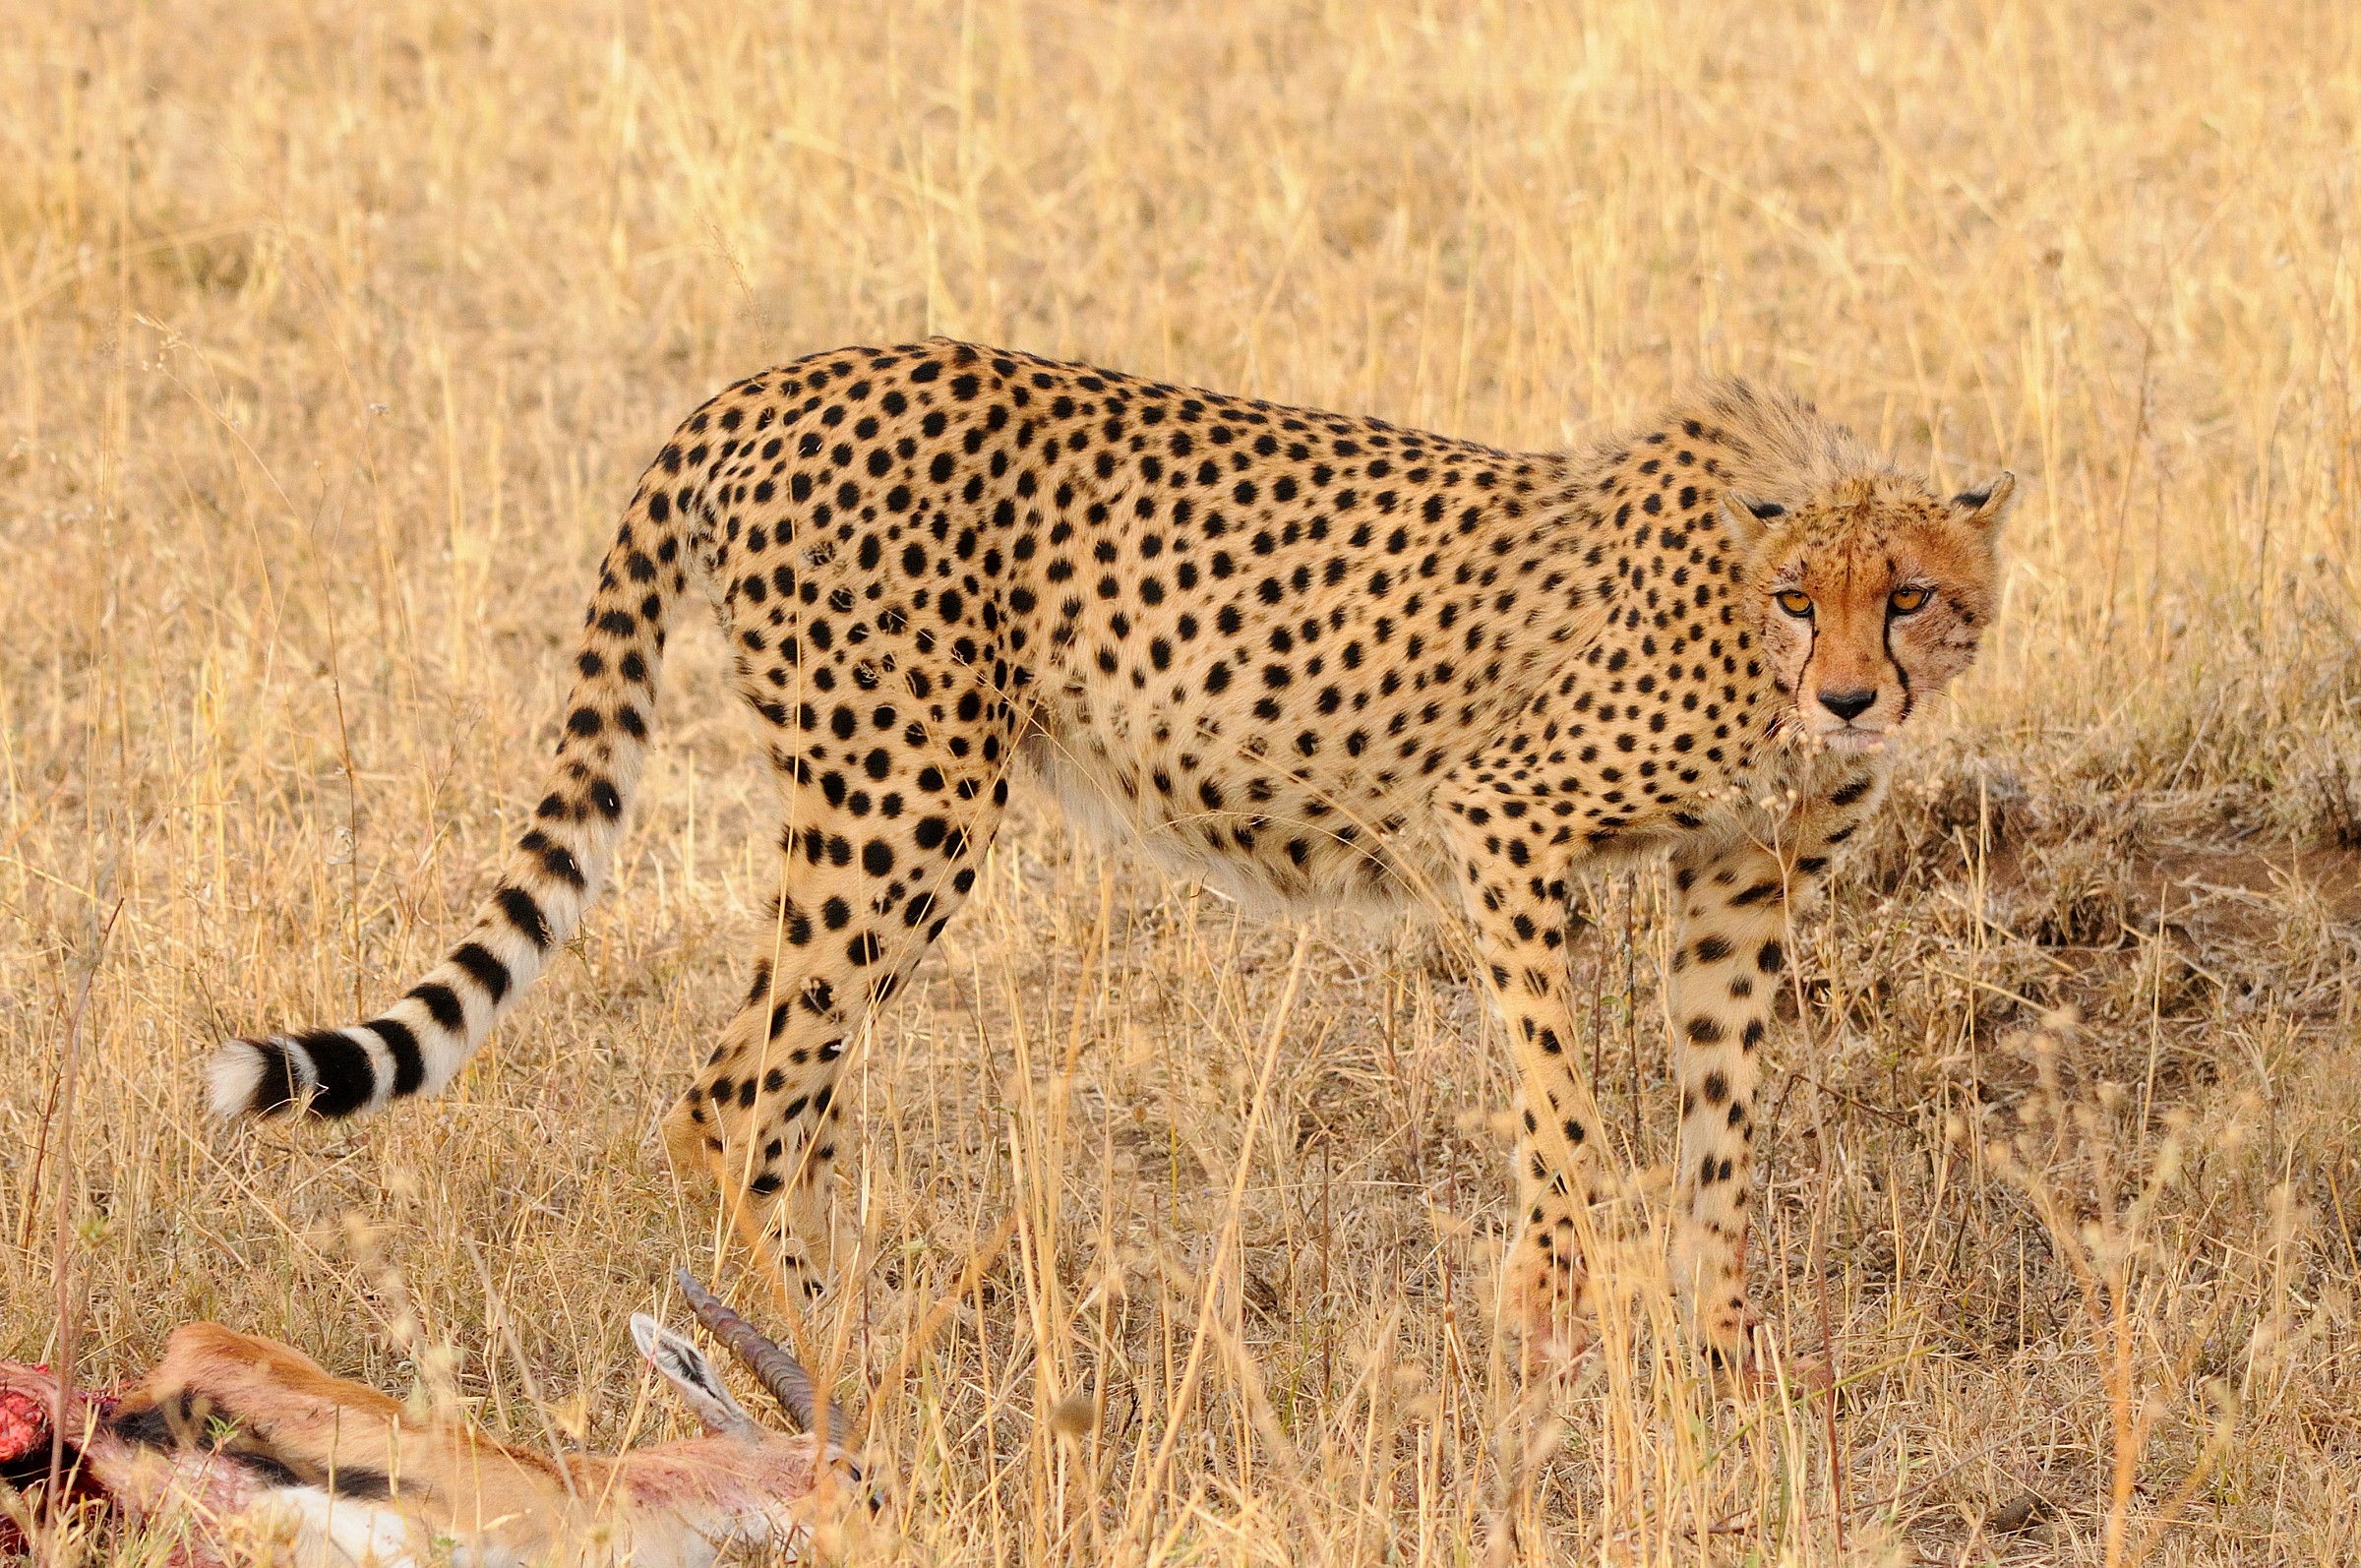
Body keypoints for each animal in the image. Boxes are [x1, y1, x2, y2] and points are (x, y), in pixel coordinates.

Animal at [209, 339, 2012, 1369]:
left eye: (1913, 593)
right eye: (1803, 598)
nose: (1854, 695)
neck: (1745, 632)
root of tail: (766, 380)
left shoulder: (1739, 888)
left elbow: (1721, 1123)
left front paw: (1727, 1351)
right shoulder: (1501, 823)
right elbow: (1560, 1102)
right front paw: (1554, 1315)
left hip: (883, 813)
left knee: (797, 1089)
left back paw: (852, 1317)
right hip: (906, 793)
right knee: (731, 1090)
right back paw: (835, 1358)